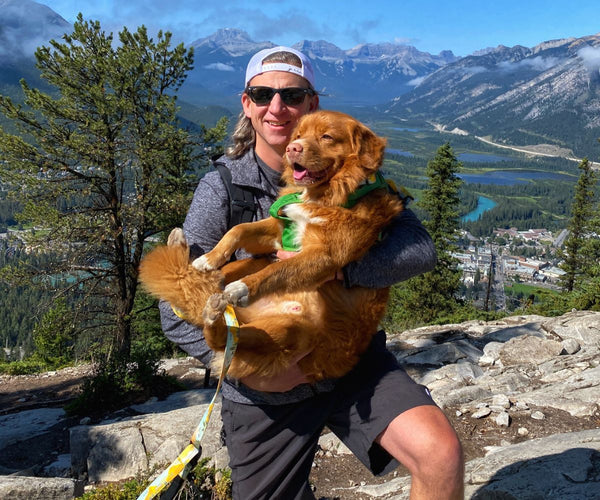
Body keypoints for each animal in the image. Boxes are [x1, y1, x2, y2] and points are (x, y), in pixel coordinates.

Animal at [138, 109, 406, 380]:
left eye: (327, 137)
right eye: (298, 135)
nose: (292, 148)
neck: (325, 197)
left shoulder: (325, 255)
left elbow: (278, 270)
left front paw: (243, 288)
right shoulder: (279, 232)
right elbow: (238, 230)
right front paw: (210, 257)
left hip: (291, 332)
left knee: (226, 339)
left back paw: (214, 311)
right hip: (260, 286)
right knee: (212, 311)